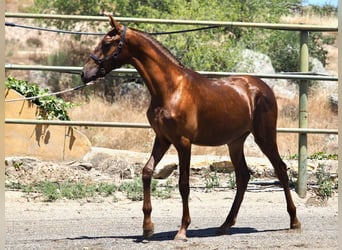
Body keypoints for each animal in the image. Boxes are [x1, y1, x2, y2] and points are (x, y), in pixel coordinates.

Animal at [81, 16, 300, 240]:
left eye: (106, 44)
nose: (84, 73)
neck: (170, 89)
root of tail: (263, 87)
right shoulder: (162, 138)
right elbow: (147, 171)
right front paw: (148, 227)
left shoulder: (183, 143)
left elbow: (183, 184)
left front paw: (182, 229)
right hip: (235, 142)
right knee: (243, 177)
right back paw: (225, 225)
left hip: (264, 137)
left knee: (280, 169)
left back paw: (294, 220)